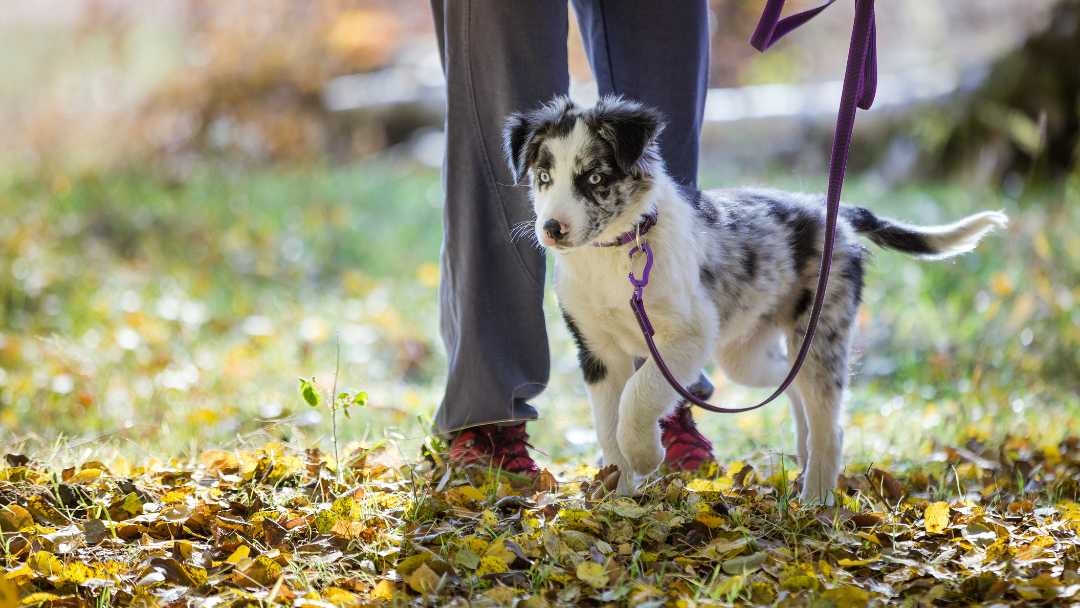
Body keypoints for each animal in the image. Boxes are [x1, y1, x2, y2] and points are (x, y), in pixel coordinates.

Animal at [501, 96, 1006, 505]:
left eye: (595, 178)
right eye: (543, 177)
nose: (551, 229)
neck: (617, 251)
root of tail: (834, 212)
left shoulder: (687, 336)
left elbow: (638, 396)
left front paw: (644, 455)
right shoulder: (597, 350)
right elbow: (608, 422)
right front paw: (618, 492)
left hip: (821, 332)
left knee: (832, 421)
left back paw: (816, 500)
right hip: (744, 354)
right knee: (792, 382)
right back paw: (804, 455)